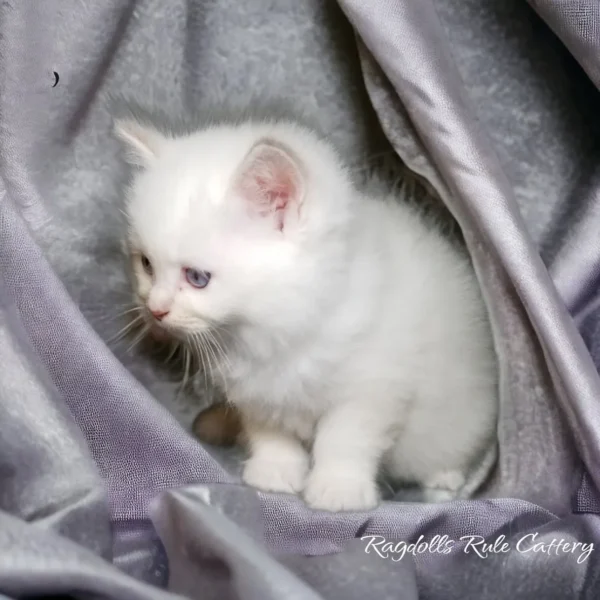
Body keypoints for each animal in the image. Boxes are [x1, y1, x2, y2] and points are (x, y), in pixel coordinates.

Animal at [116, 111, 496, 510]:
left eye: (197, 278)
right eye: (146, 265)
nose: (154, 309)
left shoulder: (372, 389)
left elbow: (344, 439)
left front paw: (338, 489)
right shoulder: (257, 393)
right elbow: (270, 434)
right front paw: (274, 473)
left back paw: (445, 478)